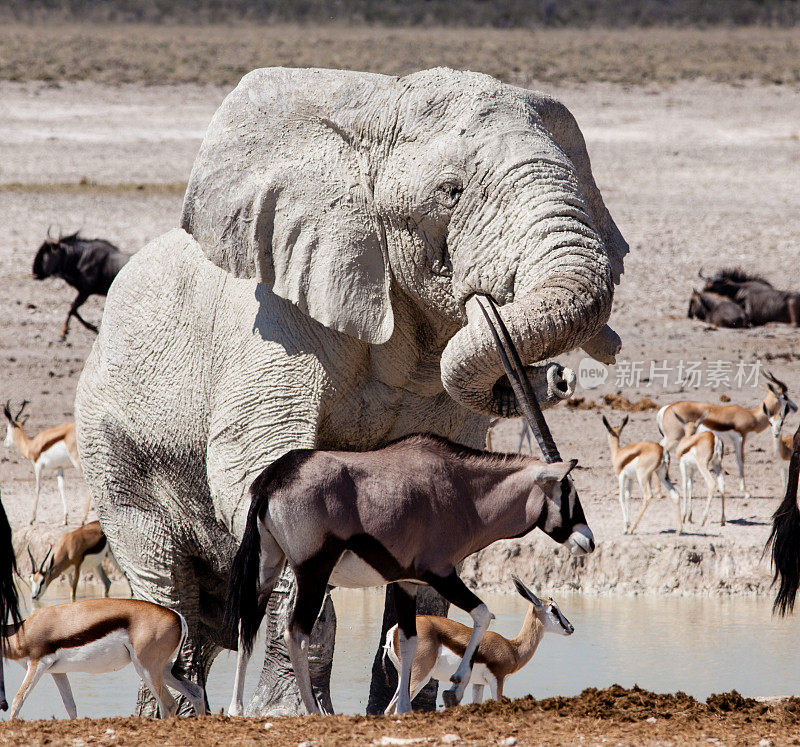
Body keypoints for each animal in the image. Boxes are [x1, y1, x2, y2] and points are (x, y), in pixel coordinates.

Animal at [0, 596, 206, 720]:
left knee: (169, 704)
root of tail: (178, 617)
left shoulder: (37, 664)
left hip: (147, 669)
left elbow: (18, 700)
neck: (23, 631)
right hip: (165, 670)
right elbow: (70, 706)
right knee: (196, 692)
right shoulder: (57, 672)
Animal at [382, 580, 576, 712]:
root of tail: (393, 632)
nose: (571, 628)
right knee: (396, 707)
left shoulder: (478, 684)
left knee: (388, 708)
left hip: (403, 675)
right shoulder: (497, 680)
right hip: (420, 676)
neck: (512, 648)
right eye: (553, 609)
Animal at [656, 372, 792, 500]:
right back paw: (660, 493)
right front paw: (746, 492)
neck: (751, 415)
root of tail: (667, 408)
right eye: (785, 396)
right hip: (674, 439)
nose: (793, 407)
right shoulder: (740, 439)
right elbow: (740, 460)